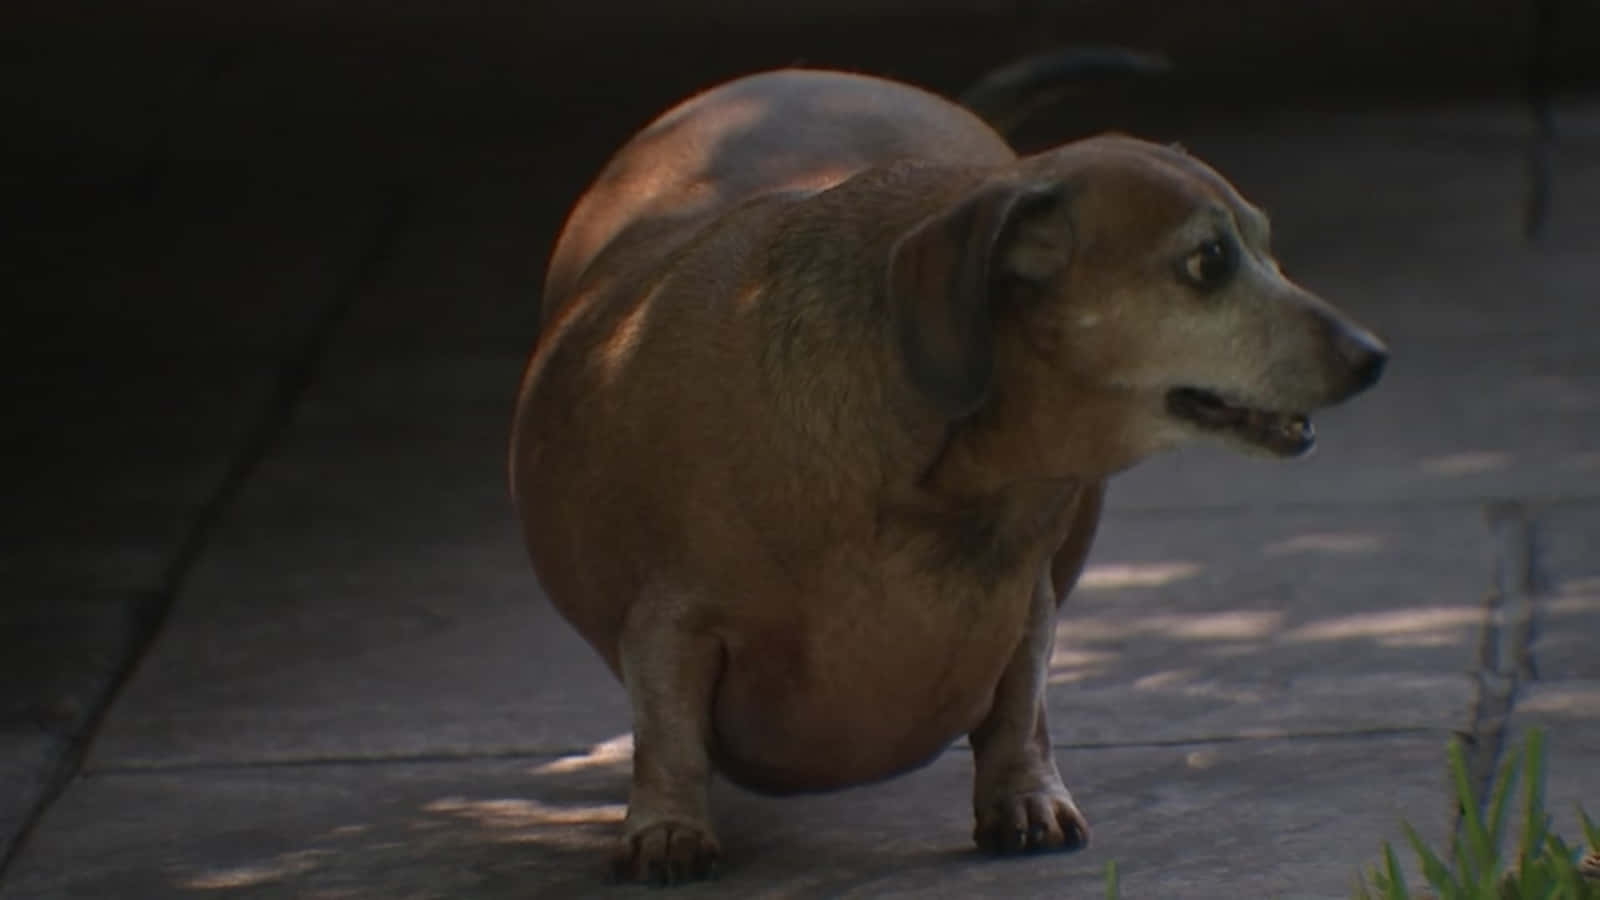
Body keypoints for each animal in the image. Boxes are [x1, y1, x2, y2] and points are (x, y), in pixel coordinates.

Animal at [508, 63, 1376, 883]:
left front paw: (1025, 797)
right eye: (1208, 260)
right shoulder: (671, 620)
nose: (1373, 358)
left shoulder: (1029, 602)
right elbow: (670, 733)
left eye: (1265, 244)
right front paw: (667, 827)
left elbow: (1020, 708)